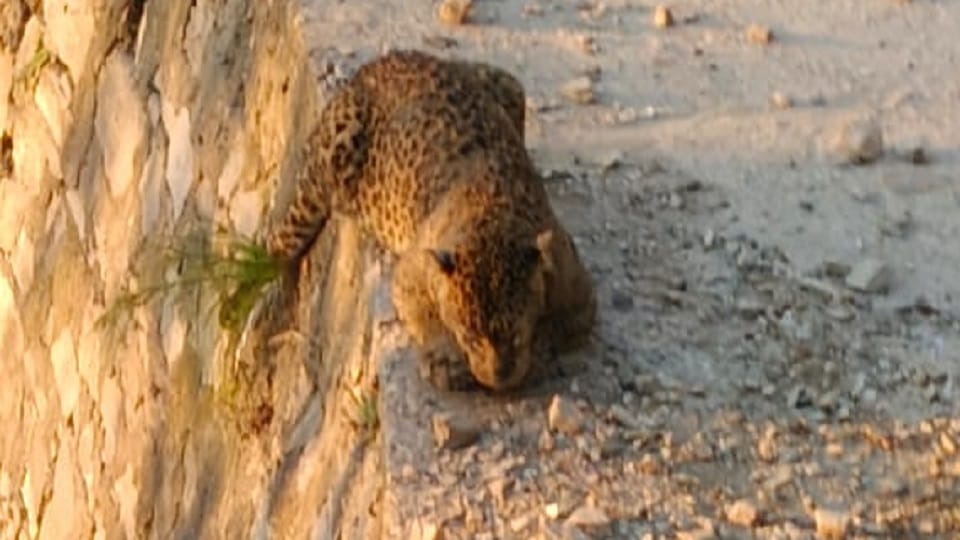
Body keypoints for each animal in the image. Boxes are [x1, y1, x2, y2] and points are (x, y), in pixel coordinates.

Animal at [265, 49, 596, 391]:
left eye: (516, 336)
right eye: (469, 336)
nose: (498, 378)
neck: (494, 220)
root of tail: (378, 63)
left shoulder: (577, 281)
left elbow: (568, 324)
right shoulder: (411, 271)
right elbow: (426, 315)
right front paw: (445, 360)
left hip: (509, 84)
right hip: (326, 167)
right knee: (277, 243)